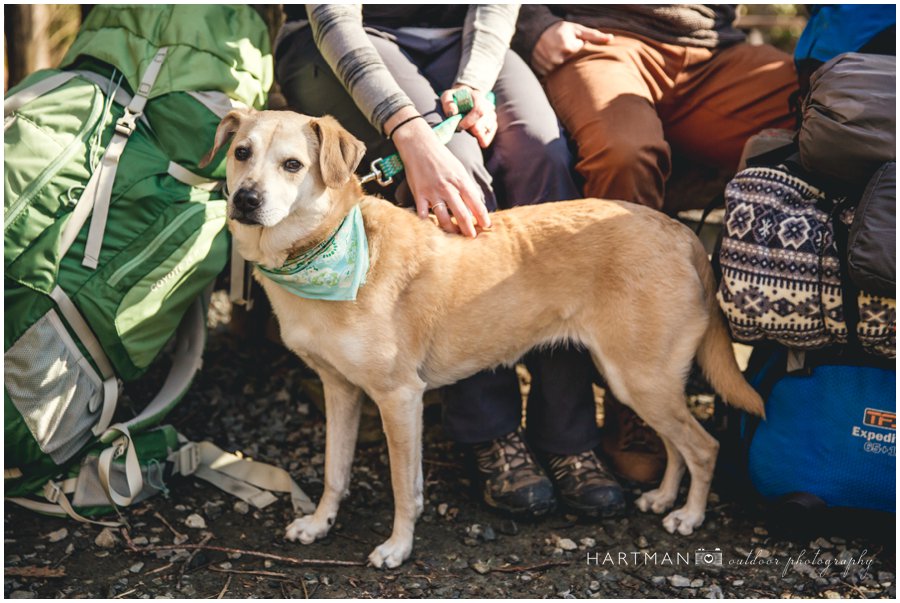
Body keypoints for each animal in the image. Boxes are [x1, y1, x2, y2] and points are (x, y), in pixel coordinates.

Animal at [206, 111, 768, 568]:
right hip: (639, 382)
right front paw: (320, 523)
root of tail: (681, 231)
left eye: (293, 165)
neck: (325, 250)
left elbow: (404, 487)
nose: (246, 199)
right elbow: (334, 471)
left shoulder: (399, 398)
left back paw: (689, 516)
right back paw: (663, 498)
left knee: (704, 447)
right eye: (241, 153)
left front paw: (398, 547)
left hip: (640, 379)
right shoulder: (339, 391)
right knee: (677, 445)